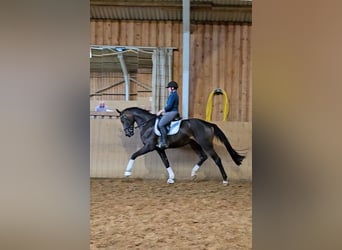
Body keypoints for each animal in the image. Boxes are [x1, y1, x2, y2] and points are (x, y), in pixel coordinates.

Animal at [116, 106, 244, 185]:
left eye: (123, 119)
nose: (128, 133)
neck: (148, 124)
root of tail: (208, 124)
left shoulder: (149, 146)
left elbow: (134, 155)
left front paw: (127, 172)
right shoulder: (159, 149)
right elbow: (166, 162)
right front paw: (171, 178)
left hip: (206, 145)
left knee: (217, 159)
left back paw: (225, 180)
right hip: (194, 144)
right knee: (203, 157)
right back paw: (193, 173)